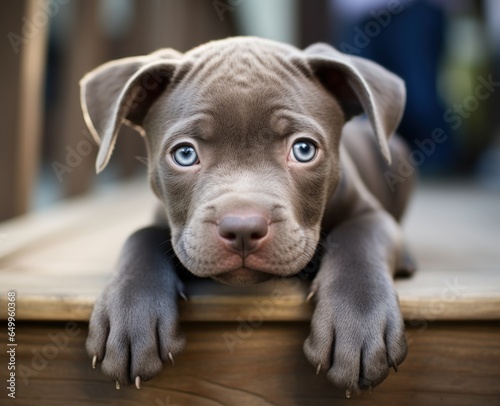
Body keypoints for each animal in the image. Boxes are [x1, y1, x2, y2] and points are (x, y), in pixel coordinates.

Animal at [80, 37, 414, 394]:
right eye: (184, 154)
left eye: (304, 150)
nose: (242, 229)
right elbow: (140, 236)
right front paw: (130, 313)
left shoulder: (371, 214)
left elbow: (360, 238)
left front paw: (358, 321)